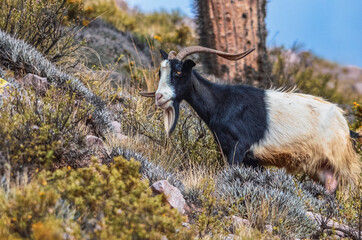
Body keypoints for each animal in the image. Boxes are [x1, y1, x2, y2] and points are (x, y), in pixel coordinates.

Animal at [140, 46, 360, 193]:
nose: (159, 97)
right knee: (330, 185)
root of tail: (345, 127)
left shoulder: (239, 148)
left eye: (178, 72)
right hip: (322, 167)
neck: (222, 102)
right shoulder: (250, 158)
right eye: (160, 72)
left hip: (341, 161)